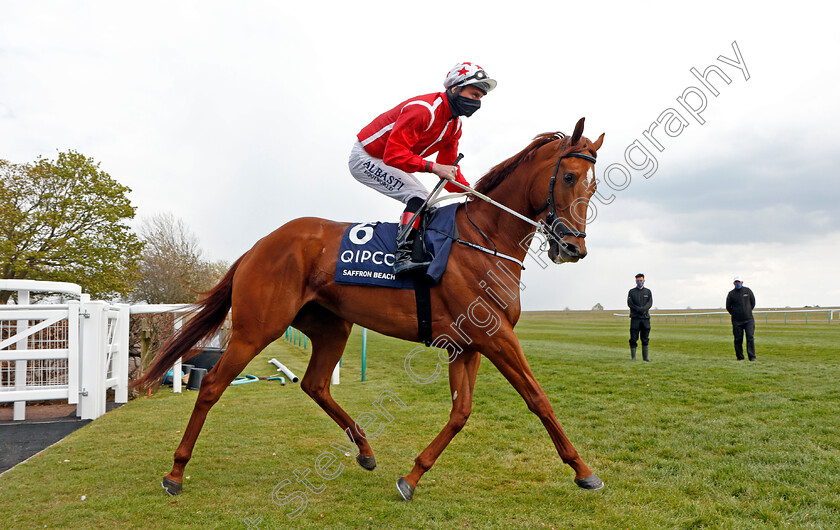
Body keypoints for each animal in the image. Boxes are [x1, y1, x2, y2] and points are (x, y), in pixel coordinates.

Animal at [139, 116, 612, 500]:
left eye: (592, 185)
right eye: (569, 176)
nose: (574, 248)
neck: (485, 239)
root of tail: (259, 245)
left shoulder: (467, 345)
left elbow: (460, 413)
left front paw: (412, 476)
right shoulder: (495, 335)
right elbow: (538, 398)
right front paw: (584, 471)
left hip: (331, 326)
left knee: (315, 384)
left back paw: (365, 450)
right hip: (258, 327)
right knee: (213, 384)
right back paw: (175, 473)